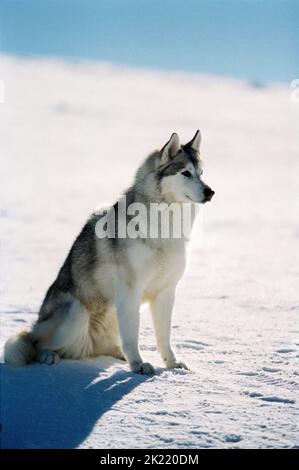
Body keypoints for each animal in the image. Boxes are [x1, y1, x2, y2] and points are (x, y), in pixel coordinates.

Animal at [5, 131, 216, 374]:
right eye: (186, 173)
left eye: (202, 173)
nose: (210, 191)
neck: (165, 227)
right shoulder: (130, 290)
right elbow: (133, 336)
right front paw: (139, 365)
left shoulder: (166, 291)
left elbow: (165, 336)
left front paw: (172, 364)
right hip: (76, 314)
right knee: (34, 343)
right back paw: (48, 356)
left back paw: (118, 355)